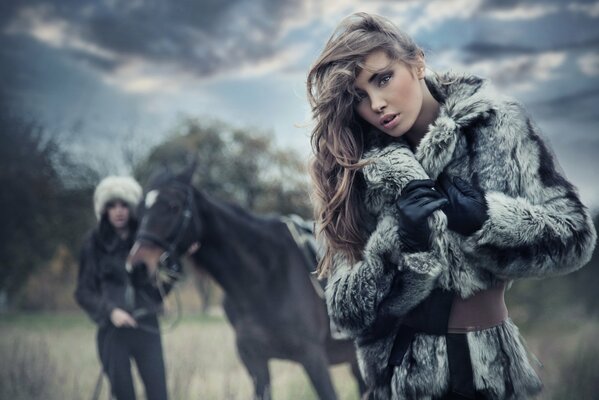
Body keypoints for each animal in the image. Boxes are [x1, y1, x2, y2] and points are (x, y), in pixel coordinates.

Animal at [126, 167, 366, 398]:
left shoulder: (313, 358)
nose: (137, 267)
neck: (263, 280)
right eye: (140, 211)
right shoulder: (255, 362)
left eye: (173, 206)